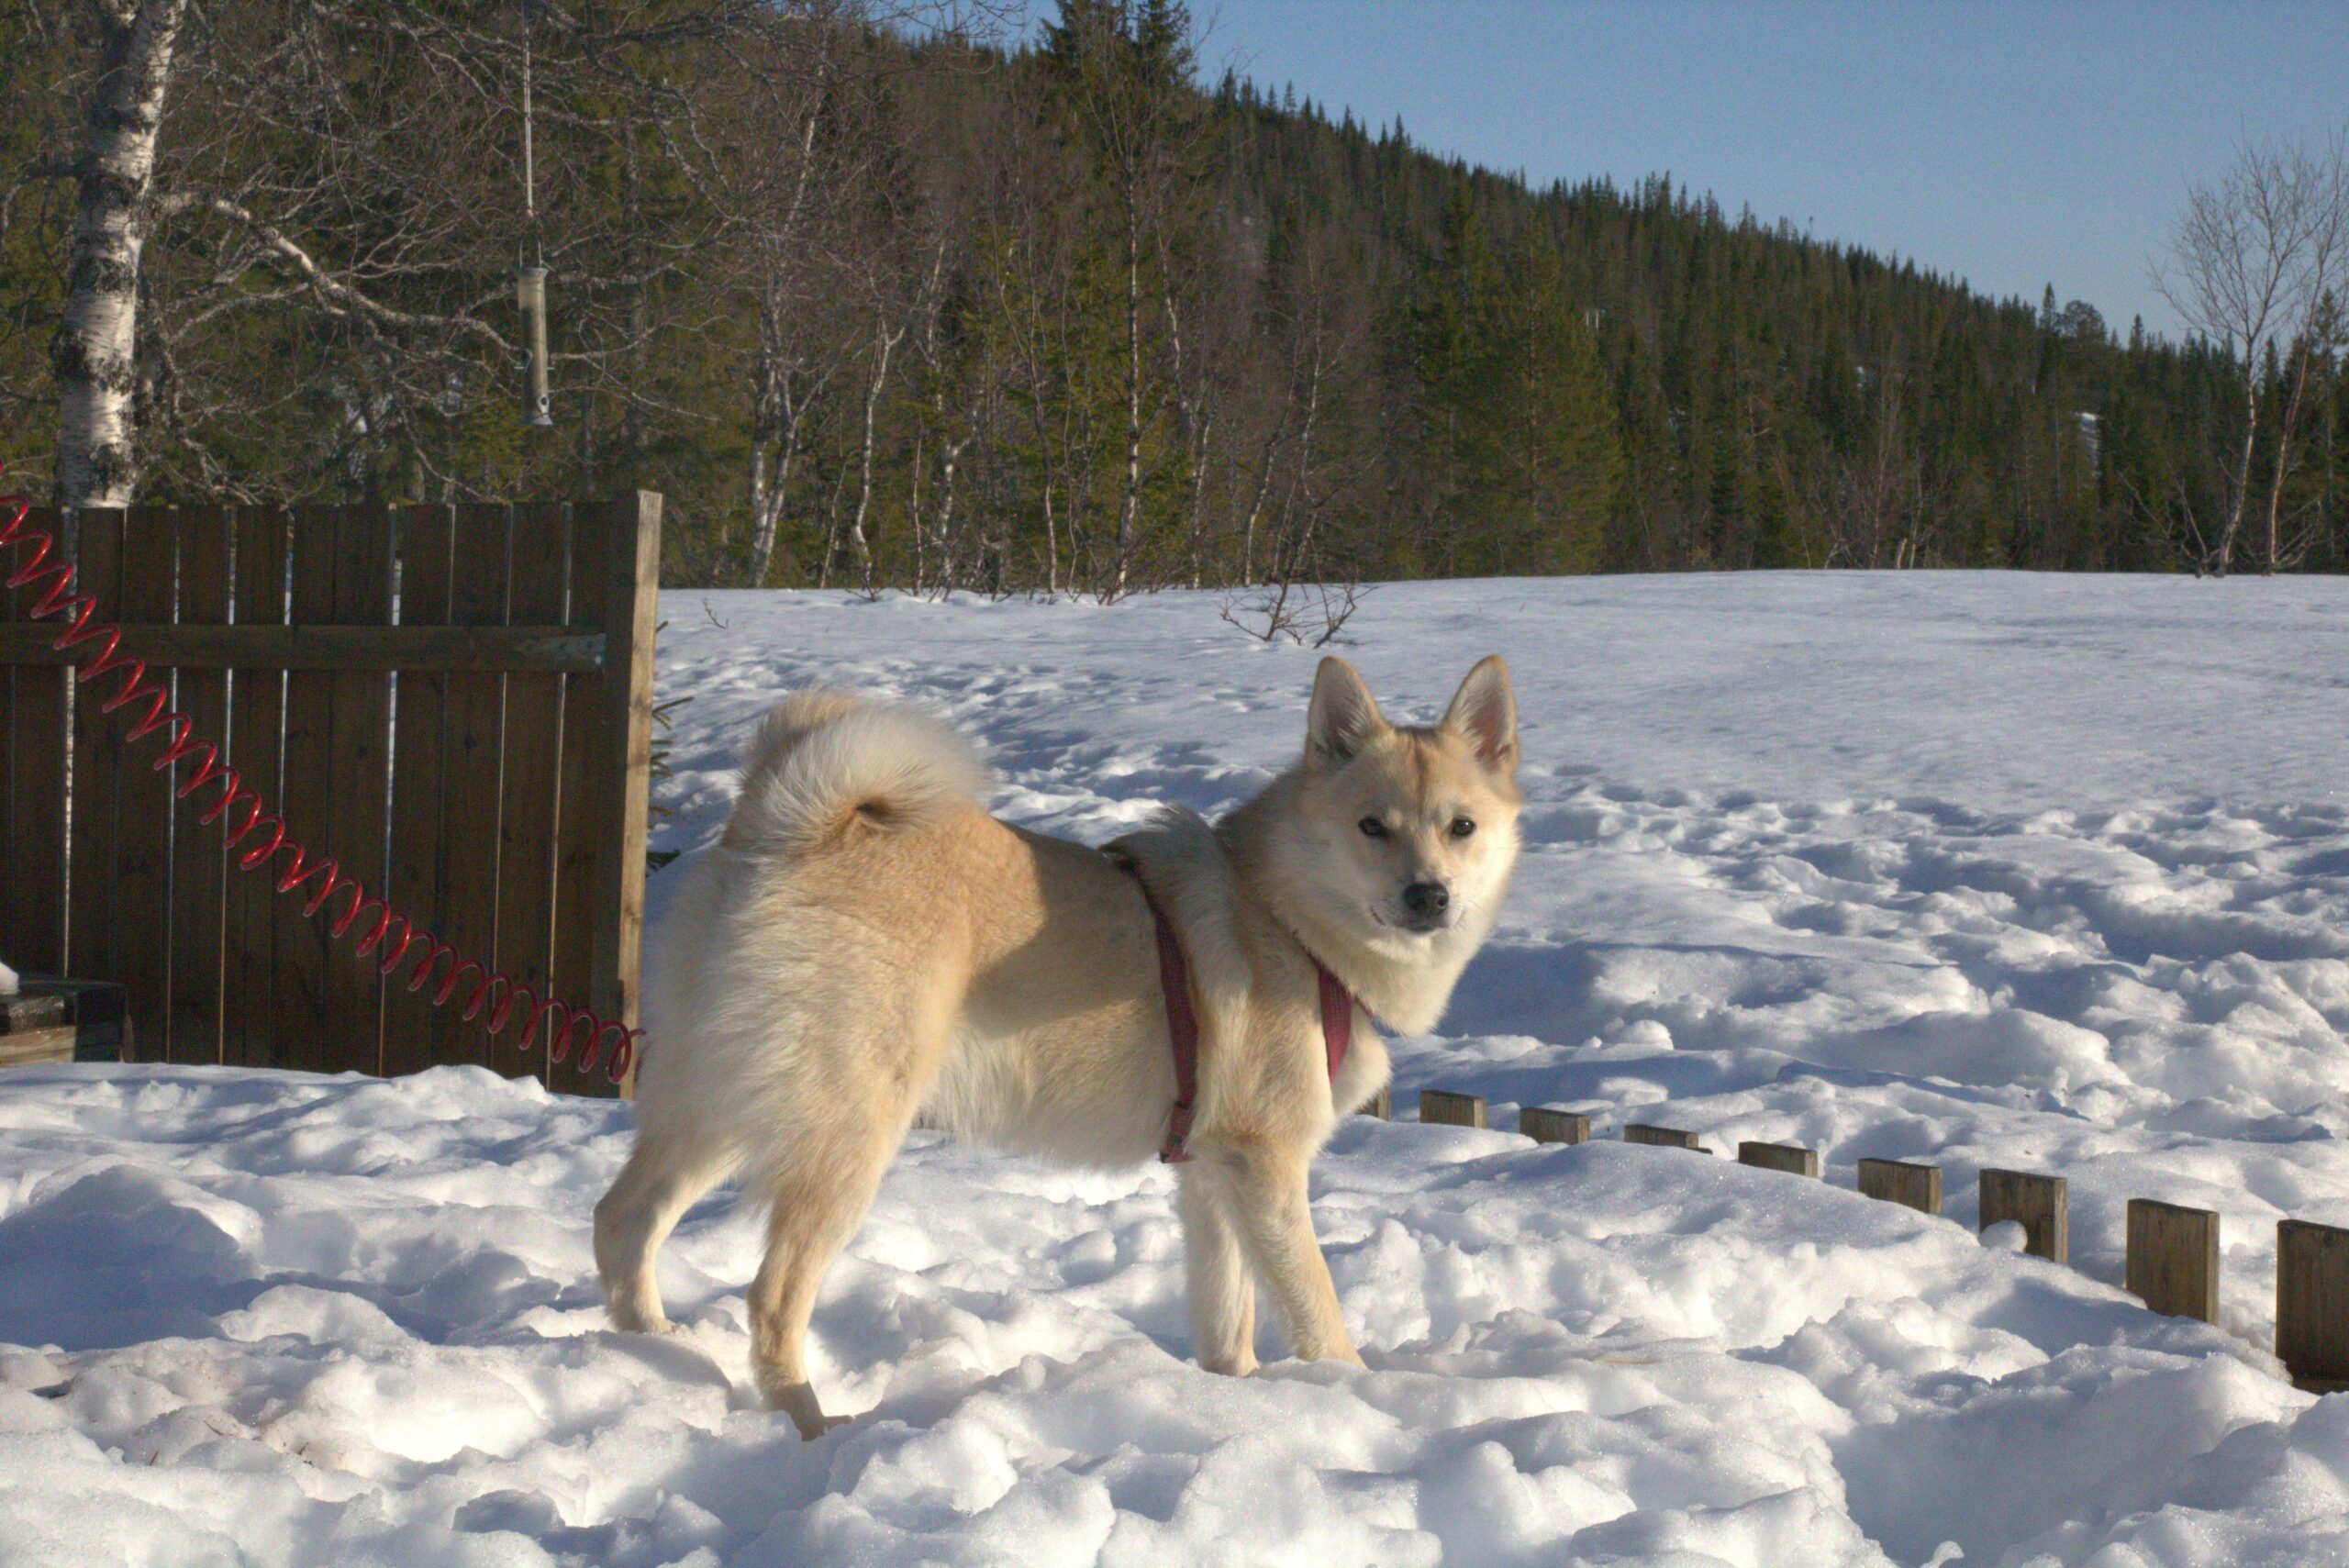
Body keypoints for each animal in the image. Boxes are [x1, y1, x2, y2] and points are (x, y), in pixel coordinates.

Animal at [592, 657, 1521, 1436]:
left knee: (622, 1219)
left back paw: (650, 1346)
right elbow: (1318, 1312)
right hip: (846, 1136)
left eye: (1461, 825)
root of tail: (785, 822)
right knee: (772, 1299)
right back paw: (815, 1431)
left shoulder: (1214, 1174)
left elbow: (1229, 1322)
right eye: (1372, 825)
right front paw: (1359, 1394)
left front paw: (1234, 1401)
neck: (1288, 919)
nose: (1429, 896)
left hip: (720, 1102)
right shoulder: (1266, 1163)